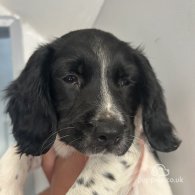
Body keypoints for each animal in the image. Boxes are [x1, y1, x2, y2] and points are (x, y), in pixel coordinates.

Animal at [0, 29, 180, 195]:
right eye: (70, 78)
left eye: (125, 82)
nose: (110, 133)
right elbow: (15, 154)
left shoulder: (130, 143)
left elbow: (89, 182)